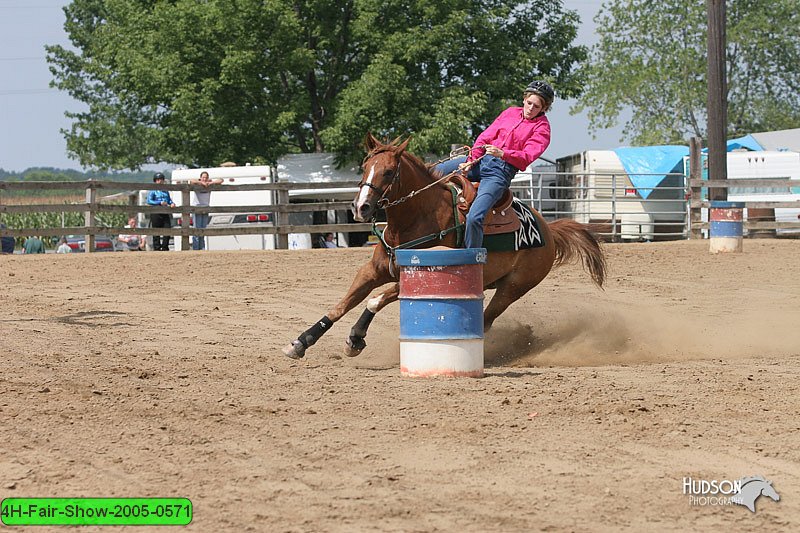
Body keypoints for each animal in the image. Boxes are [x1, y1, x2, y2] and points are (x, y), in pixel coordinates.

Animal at [282, 133, 608, 360]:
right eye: (365, 167)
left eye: (388, 172)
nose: (360, 207)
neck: (414, 218)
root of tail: (548, 230)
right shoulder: (372, 270)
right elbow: (340, 306)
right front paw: (300, 342)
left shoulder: (413, 276)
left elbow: (373, 301)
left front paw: (355, 338)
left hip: (513, 288)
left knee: (486, 319)